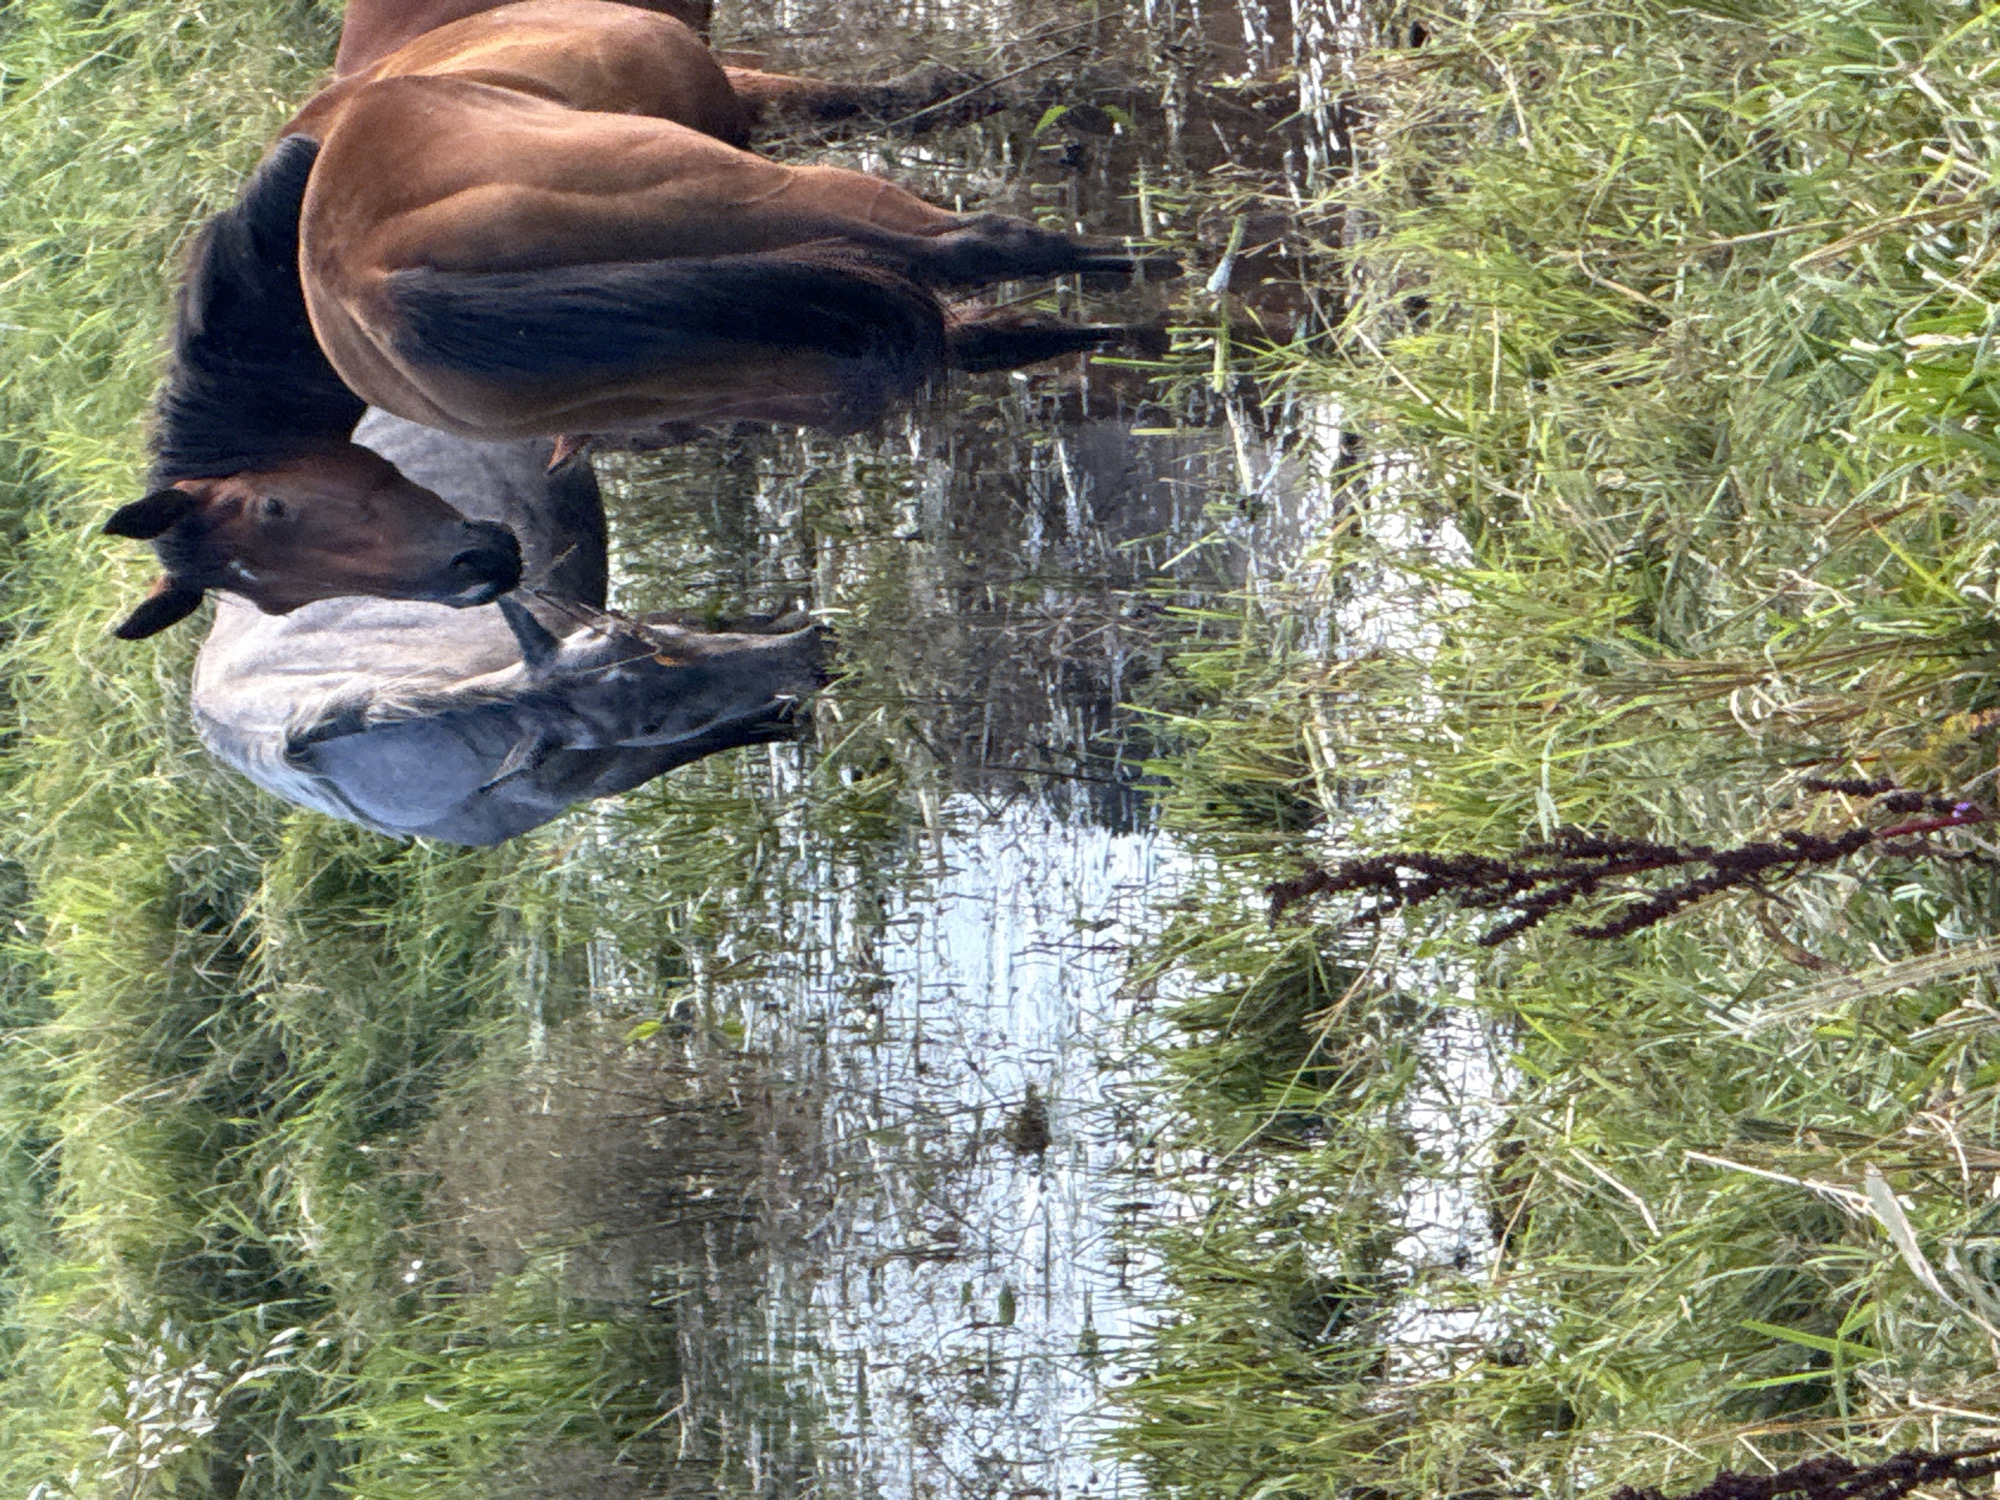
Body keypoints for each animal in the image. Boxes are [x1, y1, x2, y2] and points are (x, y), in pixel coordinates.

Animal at [107, 0, 1163, 640]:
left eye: (277, 518)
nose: (476, 573)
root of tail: (376, 286)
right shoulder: (746, 106)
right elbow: (911, 106)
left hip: (765, 362)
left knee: (971, 323)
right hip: (760, 203)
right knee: (978, 251)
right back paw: (1167, 284)